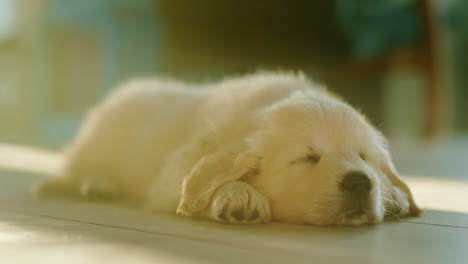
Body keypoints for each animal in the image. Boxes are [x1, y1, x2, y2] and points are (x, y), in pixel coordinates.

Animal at [35, 71, 420, 225]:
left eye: (364, 157)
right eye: (308, 158)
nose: (360, 182)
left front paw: (394, 196)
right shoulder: (178, 165)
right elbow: (191, 183)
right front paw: (239, 195)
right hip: (102, 135)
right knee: (77, 165)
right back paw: (96, 183)